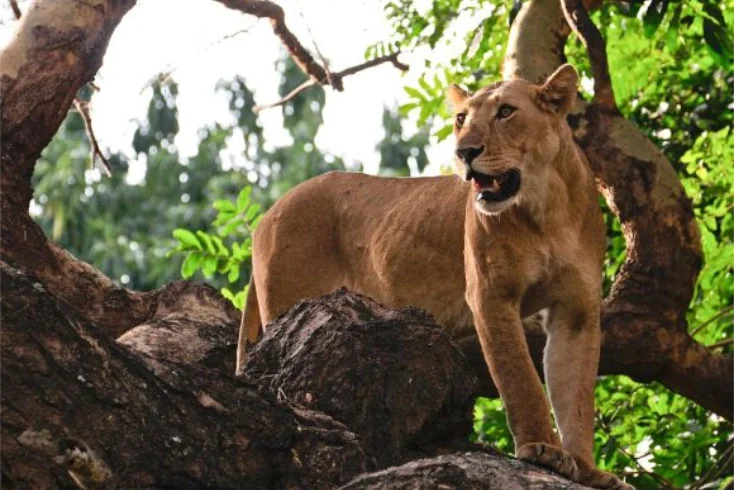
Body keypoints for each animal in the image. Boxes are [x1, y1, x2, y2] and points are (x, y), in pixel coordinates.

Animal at [235, 65, 633, 490]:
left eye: (506, 112)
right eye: (461, 119)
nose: (464, 152)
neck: (546, 208)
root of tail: (268, 214)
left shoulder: (576, 310)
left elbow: (576, 394)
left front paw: (588, 469)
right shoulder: (491, 295)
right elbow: (521, 379)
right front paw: (541, 448)